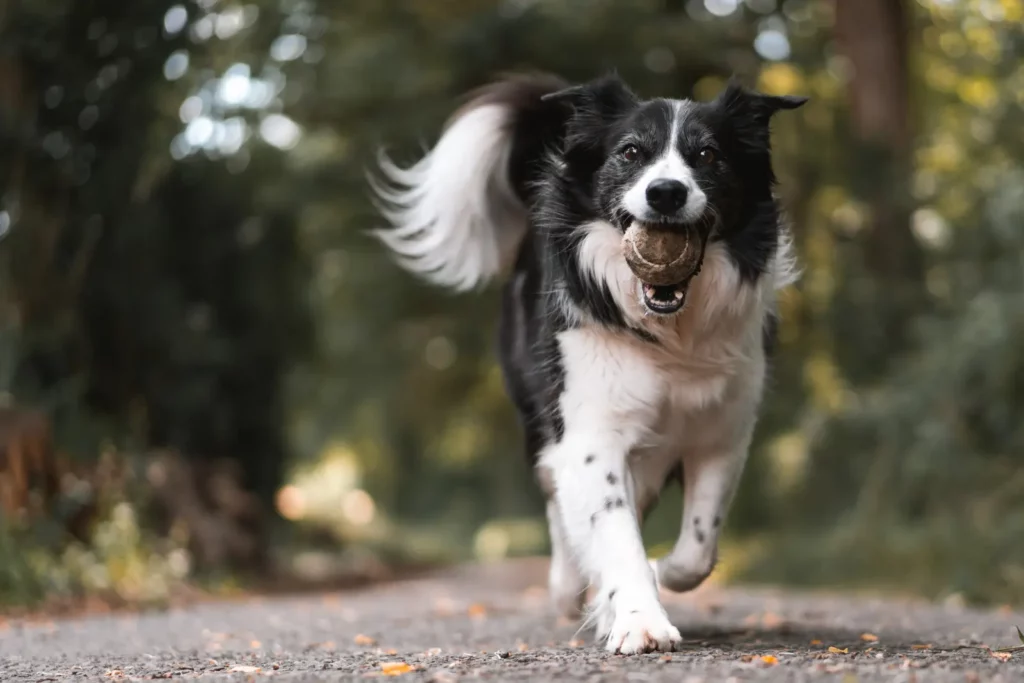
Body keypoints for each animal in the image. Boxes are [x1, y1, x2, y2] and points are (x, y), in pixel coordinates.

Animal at [368, 72, 806, 655]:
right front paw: (639, 620)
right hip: (540, 419)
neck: (670, 331)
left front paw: (654, 577)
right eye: (631, 152)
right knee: (559, 501)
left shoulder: (722, 431)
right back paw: (568, 587)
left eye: (709, 155)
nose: (666, 192)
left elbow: (696, 549)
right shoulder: (590, 430)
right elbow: (612, 531)